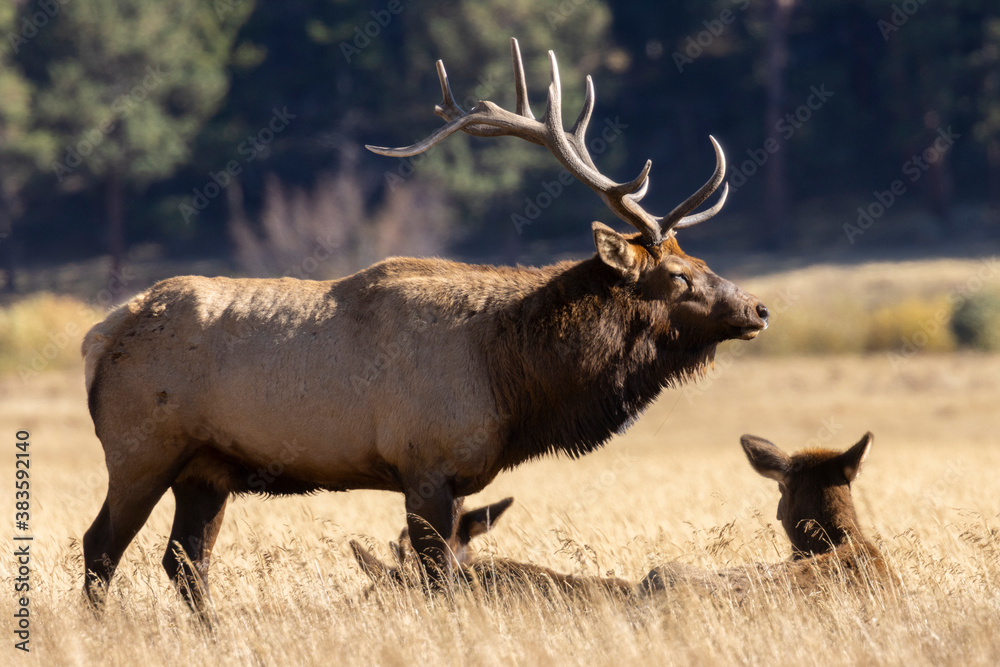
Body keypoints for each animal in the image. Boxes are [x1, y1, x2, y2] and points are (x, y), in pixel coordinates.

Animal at [82, 37, 764, 616]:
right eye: (678, 276)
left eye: (700, 261)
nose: (758, 308)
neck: (510, 379)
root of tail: (101, 334)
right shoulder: (426, 464)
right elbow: (438, 580)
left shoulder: (459, 476)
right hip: (141, 449)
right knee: (101, 547)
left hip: (206, 468)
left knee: (185, 561)